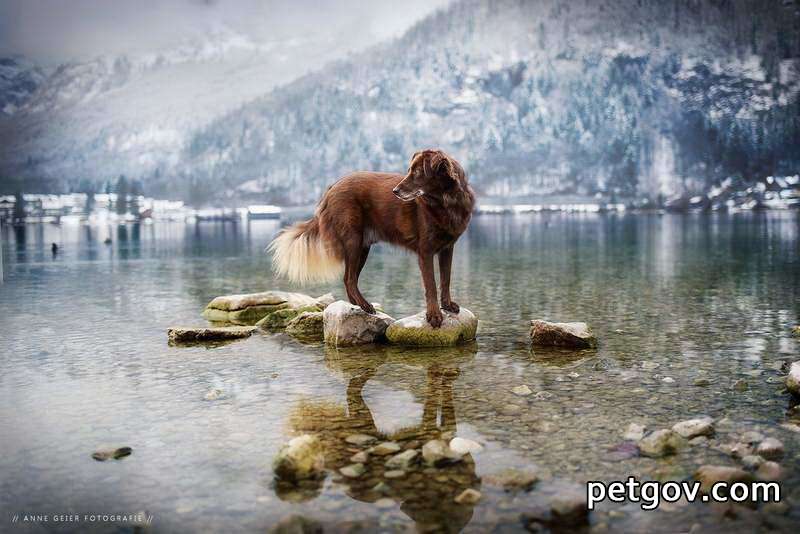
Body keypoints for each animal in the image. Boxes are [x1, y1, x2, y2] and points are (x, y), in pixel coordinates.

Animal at [274, 149, 476, 328]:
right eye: (409, 170)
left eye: (417, 172)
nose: (395, 191)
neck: (446, 201)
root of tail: (332, 188)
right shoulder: (425, 251)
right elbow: (431, 285)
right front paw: (434, 315)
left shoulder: (447, 248)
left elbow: (445, 279)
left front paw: (447, 305)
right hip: (353, 241)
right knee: (349, 279)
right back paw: (365, 305)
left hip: (363, 247)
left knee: (349, 278)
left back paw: (357, 305)